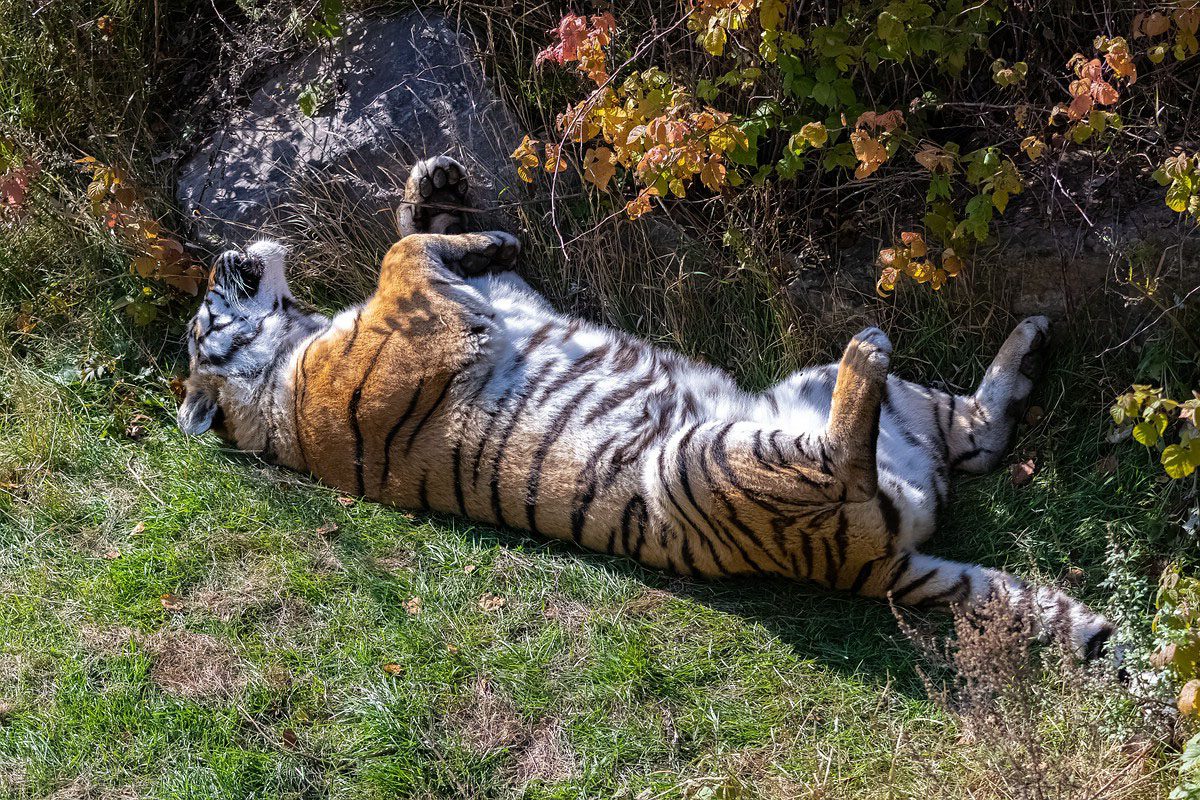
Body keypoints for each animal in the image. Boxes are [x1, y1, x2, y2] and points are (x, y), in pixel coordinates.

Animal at [178, 154, 1117, 661]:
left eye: (208, 295)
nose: (224, 251)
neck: (289, 354)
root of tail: (875, 565)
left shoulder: (486, 297)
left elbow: (416, 234)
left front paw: (436, 183)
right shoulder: (420, 328)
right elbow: (400, 253)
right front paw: (455, 214)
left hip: (856, 410)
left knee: (982, 434)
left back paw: (1029, 339)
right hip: (701, 462)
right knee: (858, 455)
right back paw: (872, 349)